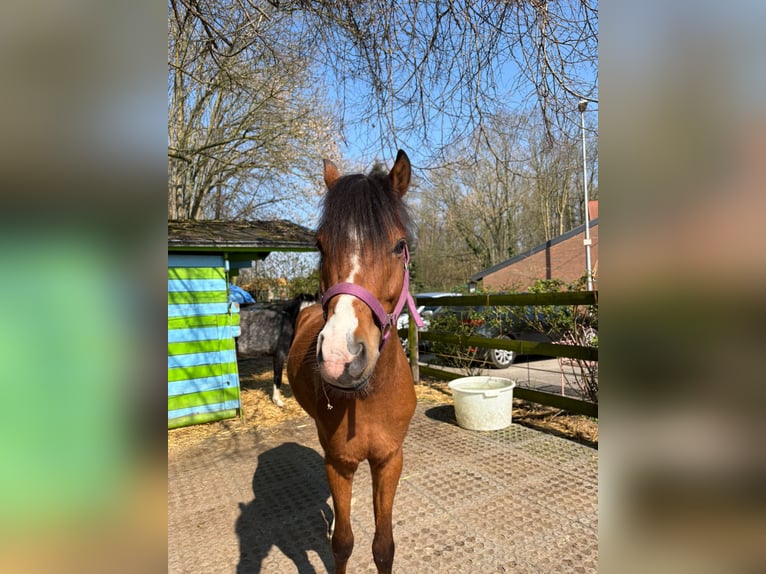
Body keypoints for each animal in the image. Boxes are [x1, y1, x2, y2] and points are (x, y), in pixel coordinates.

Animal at [286, 150, 422, 574]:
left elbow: (383, 546)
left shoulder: (389, 460)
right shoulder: (340, 464)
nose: (340, 356)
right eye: (319, 246)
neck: (369, 397)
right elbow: (343, 543)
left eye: (399, 245)